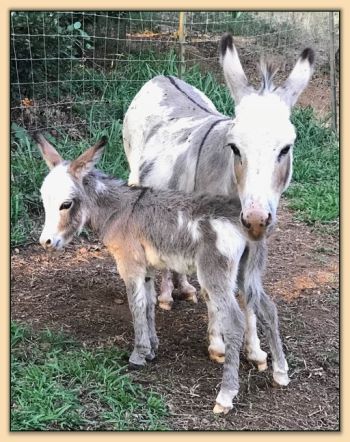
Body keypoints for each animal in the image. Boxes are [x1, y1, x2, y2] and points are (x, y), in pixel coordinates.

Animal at [35, 135, 290, 414]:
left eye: (66, 204)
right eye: (44, 200)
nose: (46, 242)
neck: (120, 210)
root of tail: (244, 222)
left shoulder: (130, 266)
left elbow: (136, 307)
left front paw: (138, 355)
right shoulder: (146, 270)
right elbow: (148, 305)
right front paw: (153, 348)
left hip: (215, 275)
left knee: (234, 321)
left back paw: (225, 396)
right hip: (247, 273)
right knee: (267, 308)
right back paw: (280, 373)